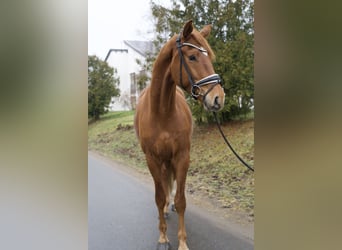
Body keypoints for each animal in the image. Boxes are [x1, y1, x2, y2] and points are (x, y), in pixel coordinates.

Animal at [135, 20, 226, 249]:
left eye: (209, 56)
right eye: (192, 57)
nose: (218, 98)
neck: (162, 112)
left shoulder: (182, 156)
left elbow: (182, 200)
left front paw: (182, 241)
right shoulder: (152, 159)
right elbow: (159, 197)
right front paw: (162, 237)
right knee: (164, 184)